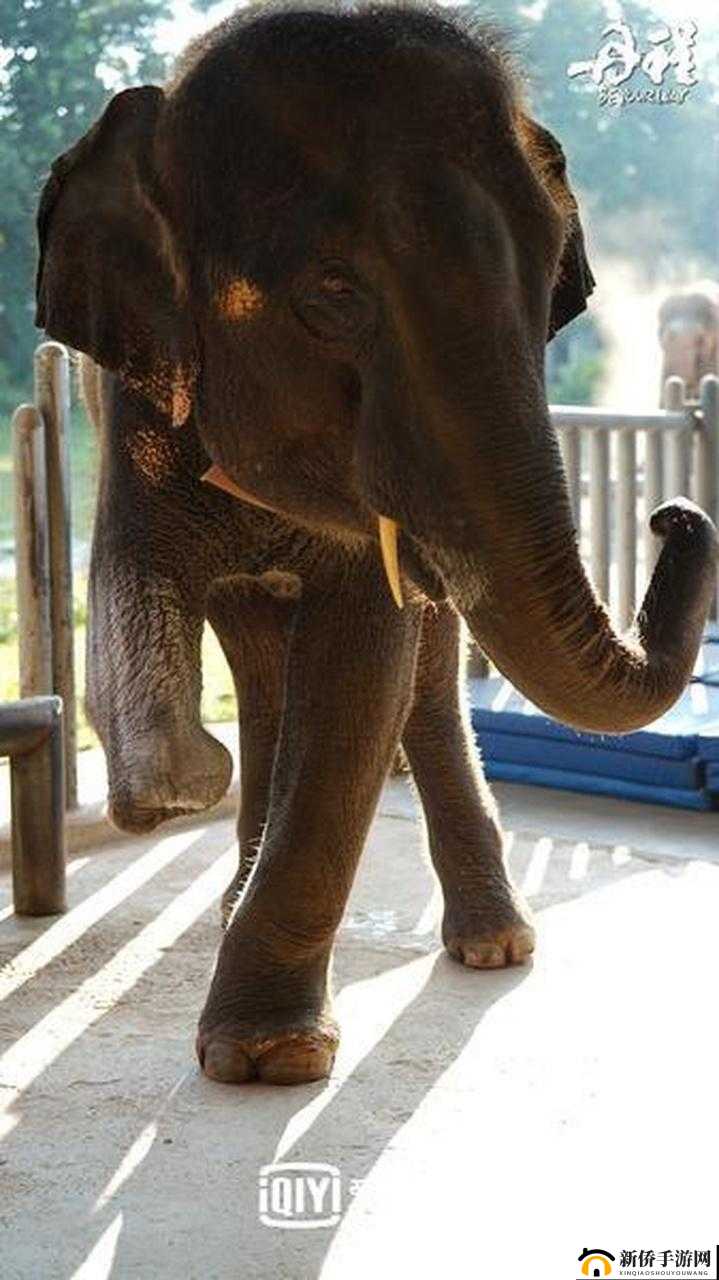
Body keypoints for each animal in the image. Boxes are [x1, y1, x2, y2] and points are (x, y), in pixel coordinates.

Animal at [36, 4, 717, 1086]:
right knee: (262, 659)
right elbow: (132, 584)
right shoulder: (134, 403)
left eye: (550, 291)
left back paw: (492, 945)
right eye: (332, 292)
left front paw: (266, 1058)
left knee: (424, 683)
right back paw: (232, 878)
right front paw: (177, 785)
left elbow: (365, 661)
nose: (673, 516)